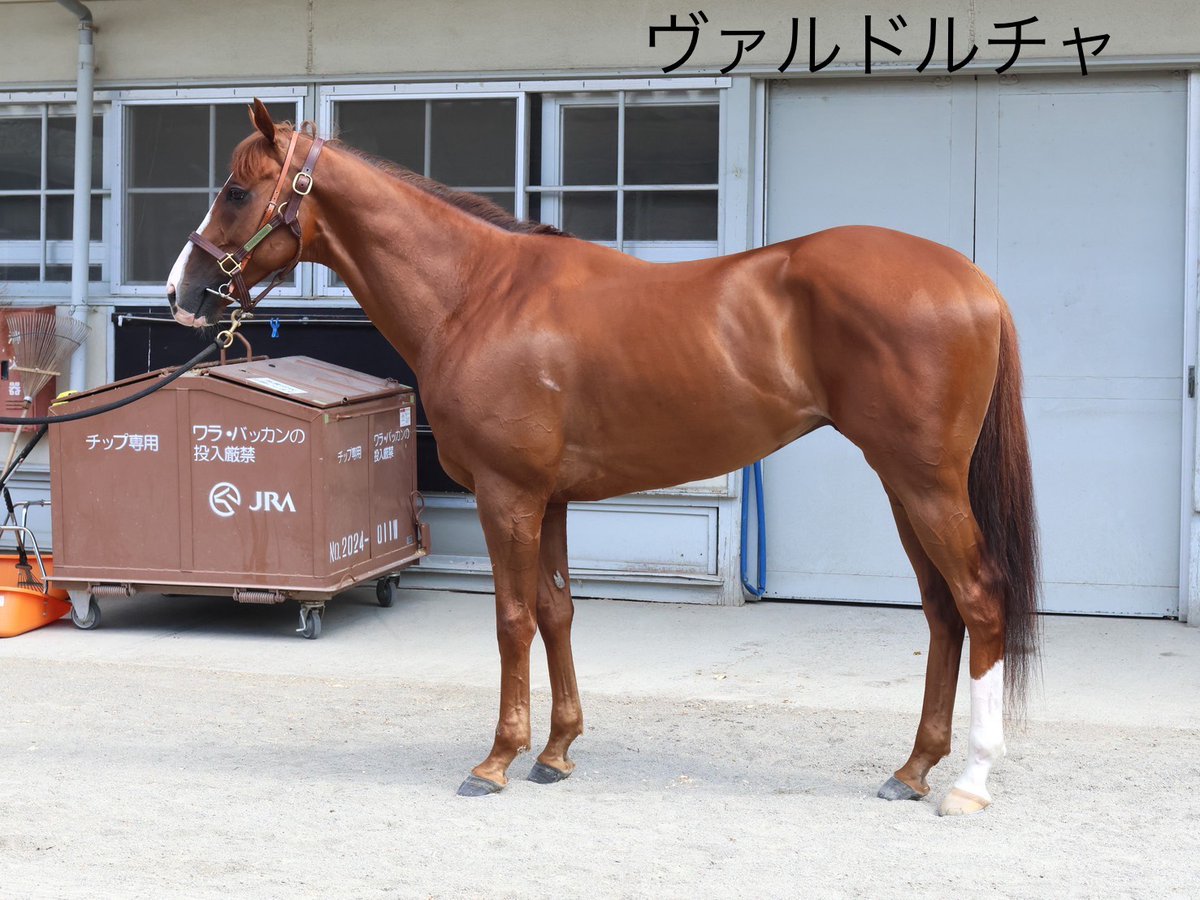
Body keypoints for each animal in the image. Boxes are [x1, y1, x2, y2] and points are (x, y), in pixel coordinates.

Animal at [165, 99, 1039, 816]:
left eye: (237, 191)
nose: (183, 292)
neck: (478, 294)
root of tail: (971, 281)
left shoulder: (507, 494)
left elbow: (513, 619)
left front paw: (496, 761)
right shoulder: (547, 498)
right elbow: (557, 611)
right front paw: (556, 753)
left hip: (926, 484)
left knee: (980, 599)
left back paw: (968, 781)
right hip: (902, 485)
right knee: (942, 612)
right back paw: (913, 769)